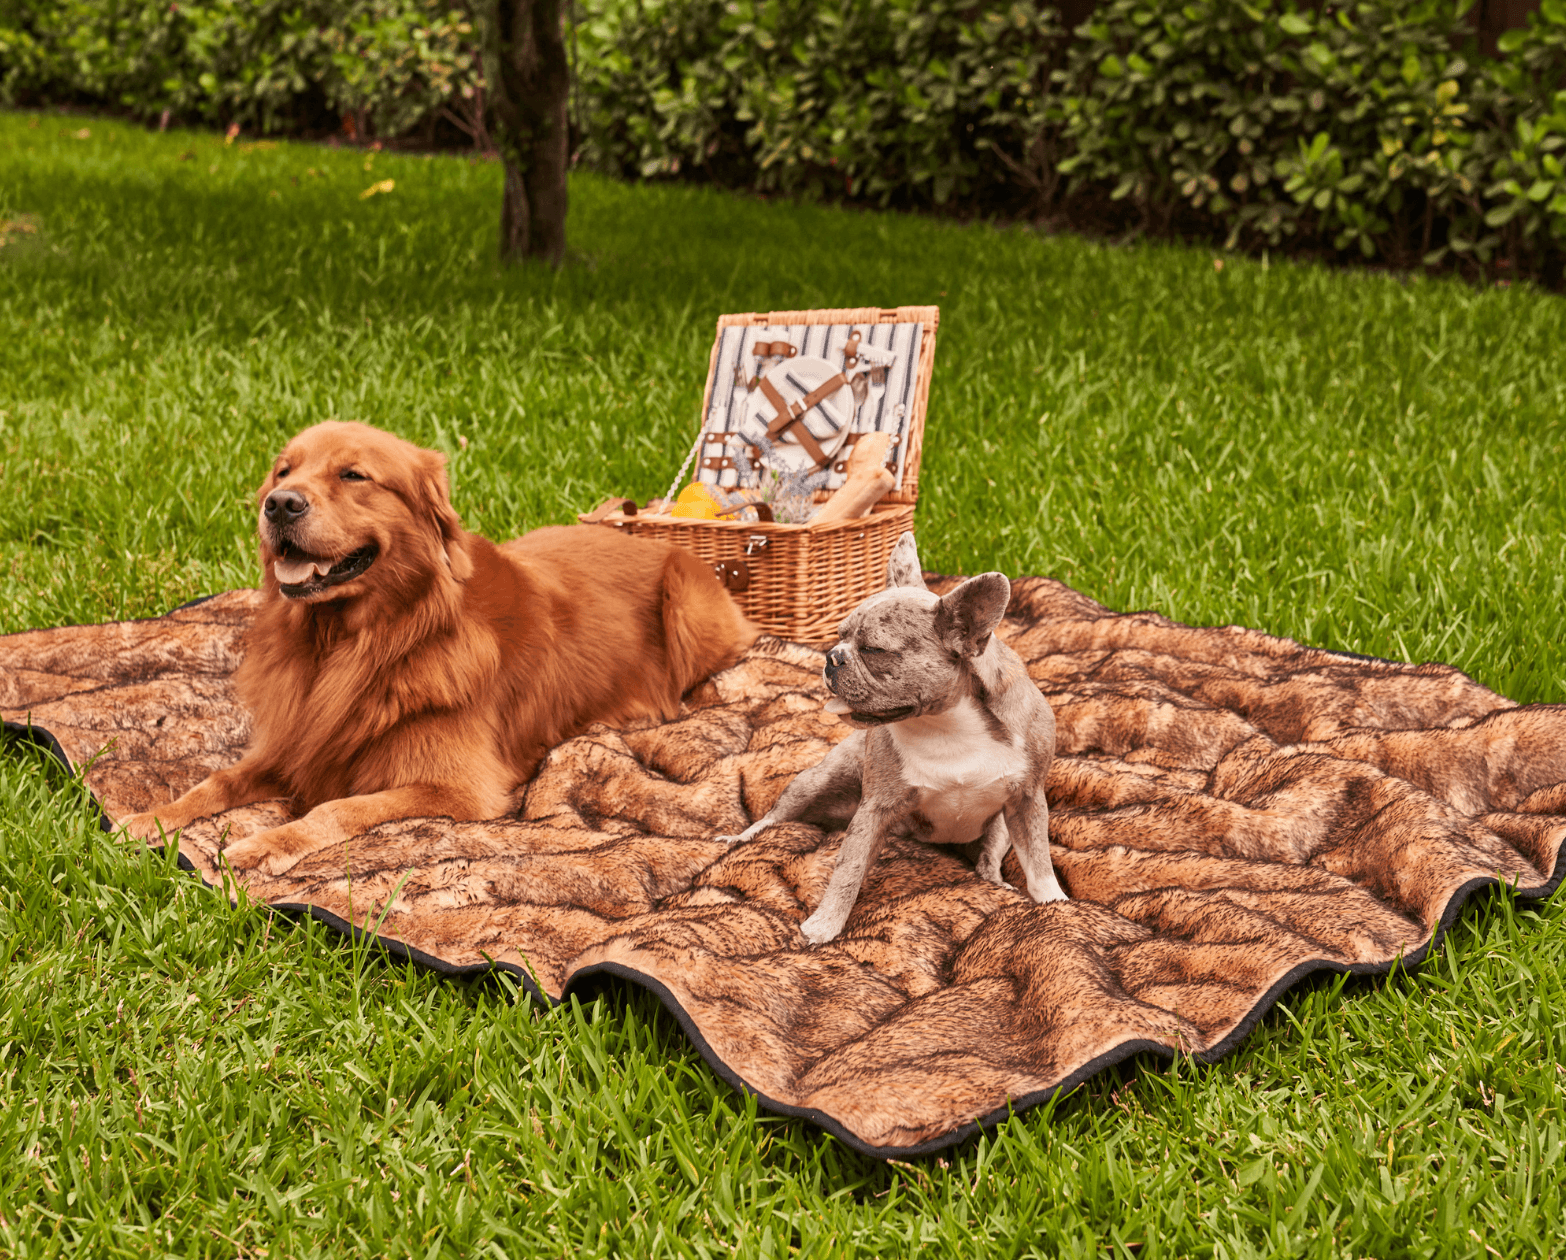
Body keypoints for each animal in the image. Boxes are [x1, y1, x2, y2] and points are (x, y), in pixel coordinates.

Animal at [123, 422, 757, 876]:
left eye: (354, 475)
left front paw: (264, 843)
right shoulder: (293, 741)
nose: (279, 503)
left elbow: (339, 806)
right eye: (284, 470)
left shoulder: (460, 790)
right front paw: (152, 818)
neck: (356, 644)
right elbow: (216, 782)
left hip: (687, 606)